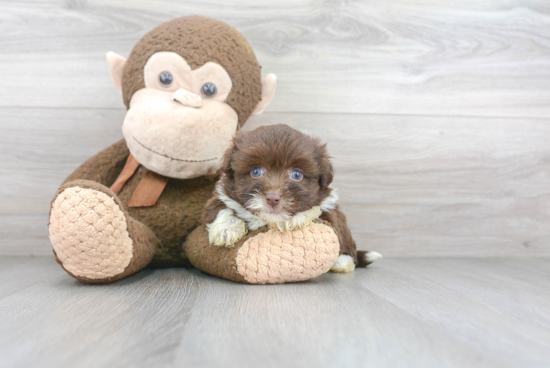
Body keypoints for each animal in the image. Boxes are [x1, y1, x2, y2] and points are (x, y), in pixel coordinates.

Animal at [204, 125, 384, 272]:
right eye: (255, 171)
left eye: (296, 175)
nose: (273, 198)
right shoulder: (219, 198)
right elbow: (223, 208)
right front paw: (226, 230)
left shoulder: (329, 211)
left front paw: (292, 220)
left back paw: (342, 262)